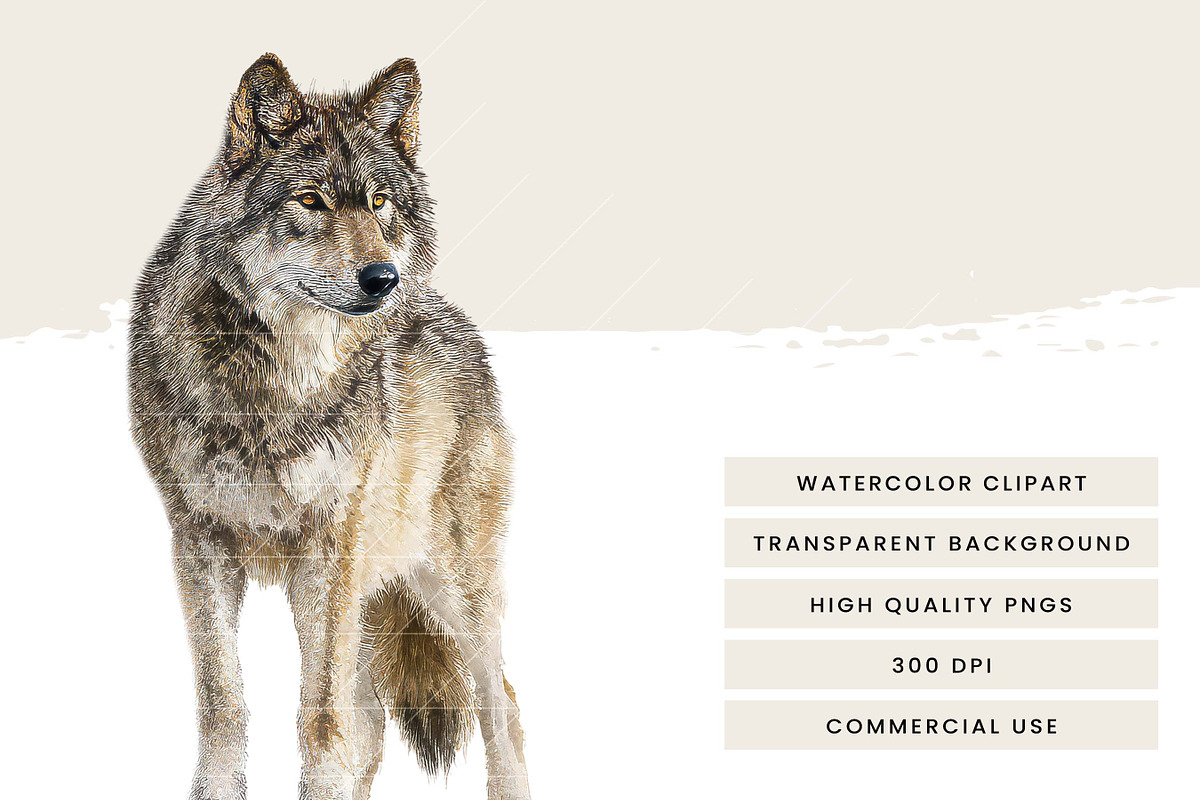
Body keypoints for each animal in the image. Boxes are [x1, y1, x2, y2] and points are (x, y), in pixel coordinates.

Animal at [128, 54, 530, 800]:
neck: (275, 385)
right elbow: (222, 699)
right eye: (310, 201)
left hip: (450, 588)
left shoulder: (329, 550)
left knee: (501, 704)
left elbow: (319, 712)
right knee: (370, 727)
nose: (382, 278)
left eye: (378, 203)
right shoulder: (198, 542)